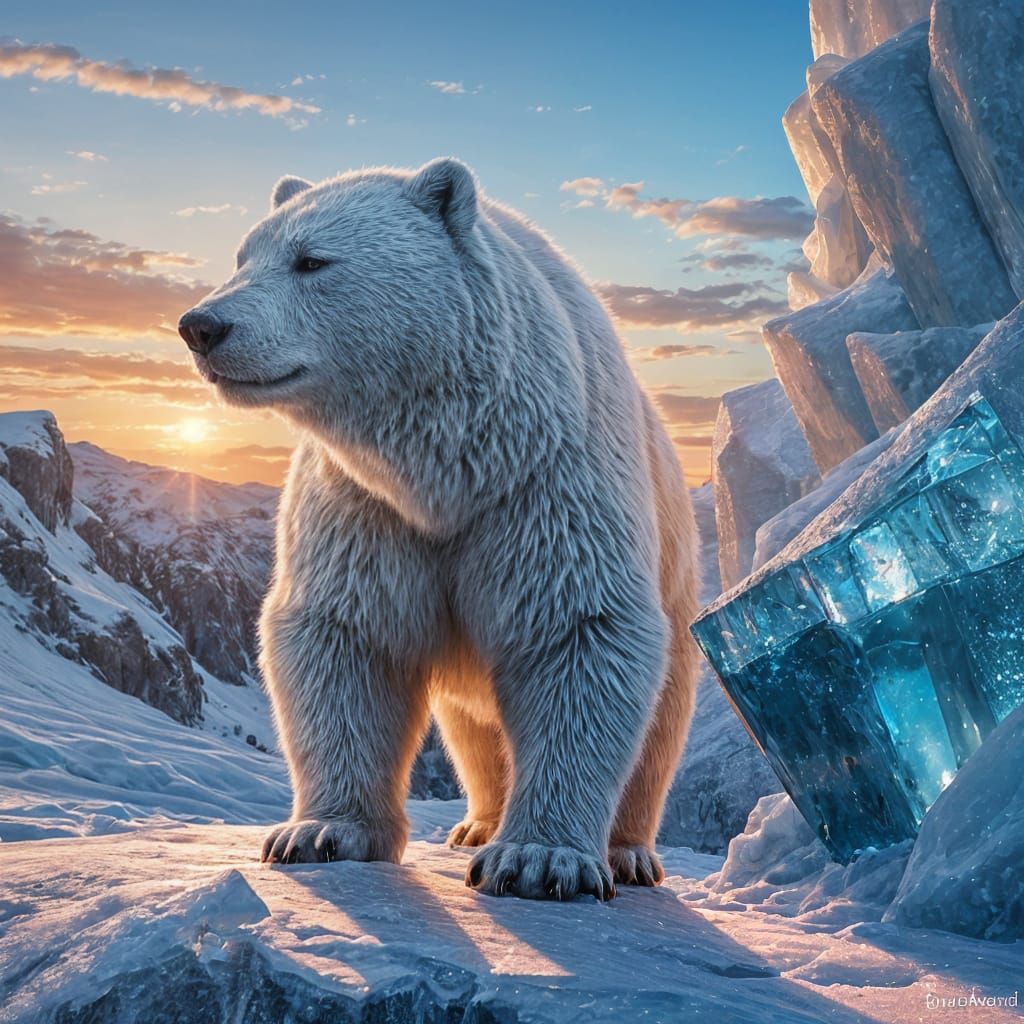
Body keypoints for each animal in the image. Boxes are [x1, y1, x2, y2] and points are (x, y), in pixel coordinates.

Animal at [177, 158, 701, 901]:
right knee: (473, 730)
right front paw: (318, 834)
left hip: (677, 583)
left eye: (312, 260)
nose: (202, 325)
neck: (449, 467)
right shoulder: (361, 504)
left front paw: (540, 860)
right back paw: (476, 824)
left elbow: (576, 630)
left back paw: (627, 851)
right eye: (243, 256)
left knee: (658, 729)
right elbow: (347, 634)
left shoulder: (549, 483)